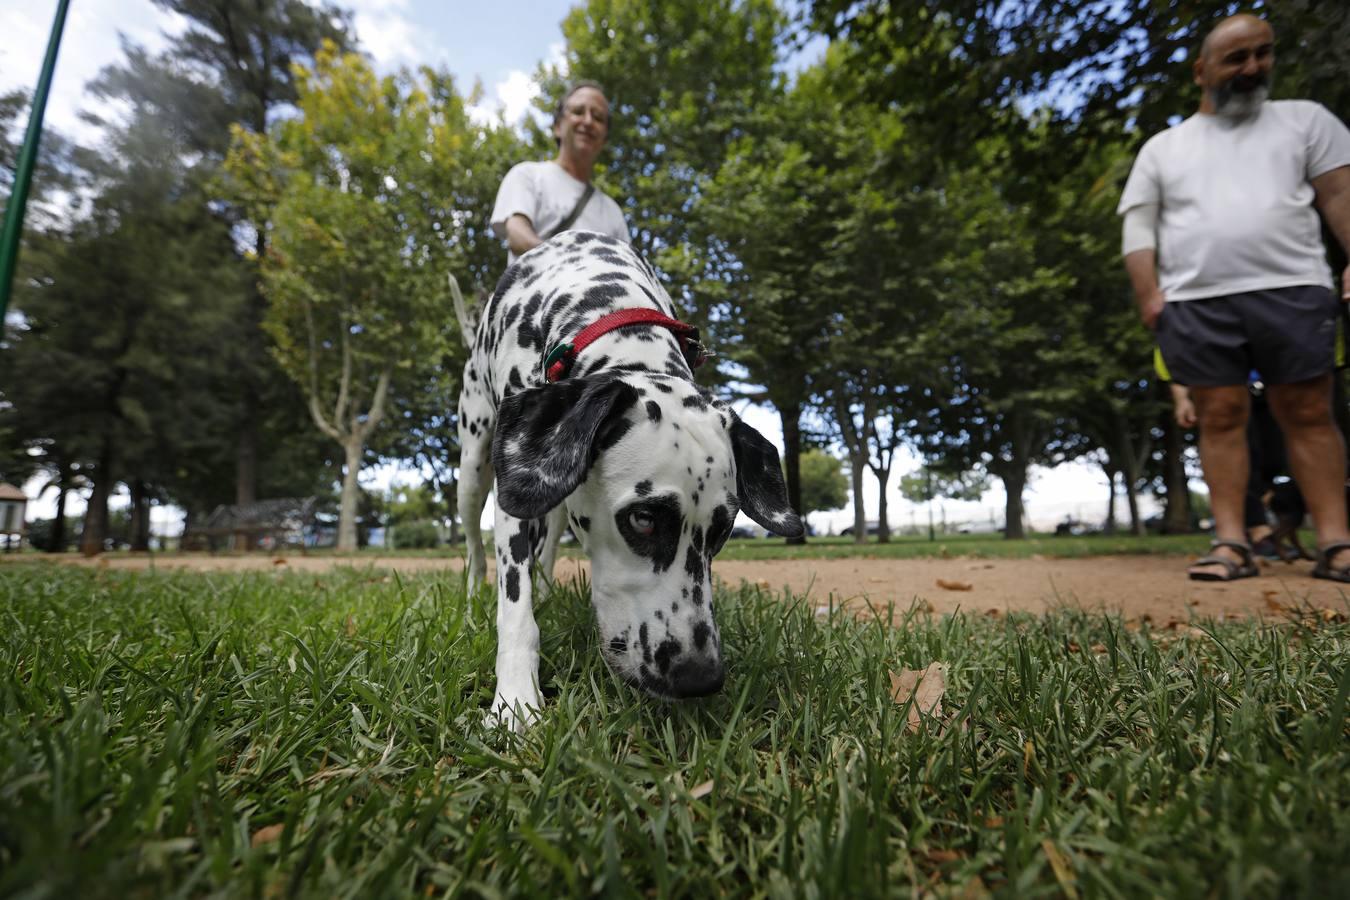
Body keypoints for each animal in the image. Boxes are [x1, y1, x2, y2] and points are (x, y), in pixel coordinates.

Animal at [459, 229, 804, 728]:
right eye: (643, 519)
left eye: (721, 531)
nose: (699, 676)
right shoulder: (515, 497)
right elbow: (516, 610)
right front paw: (516, 703)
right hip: (473, 465)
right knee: (472, 541)